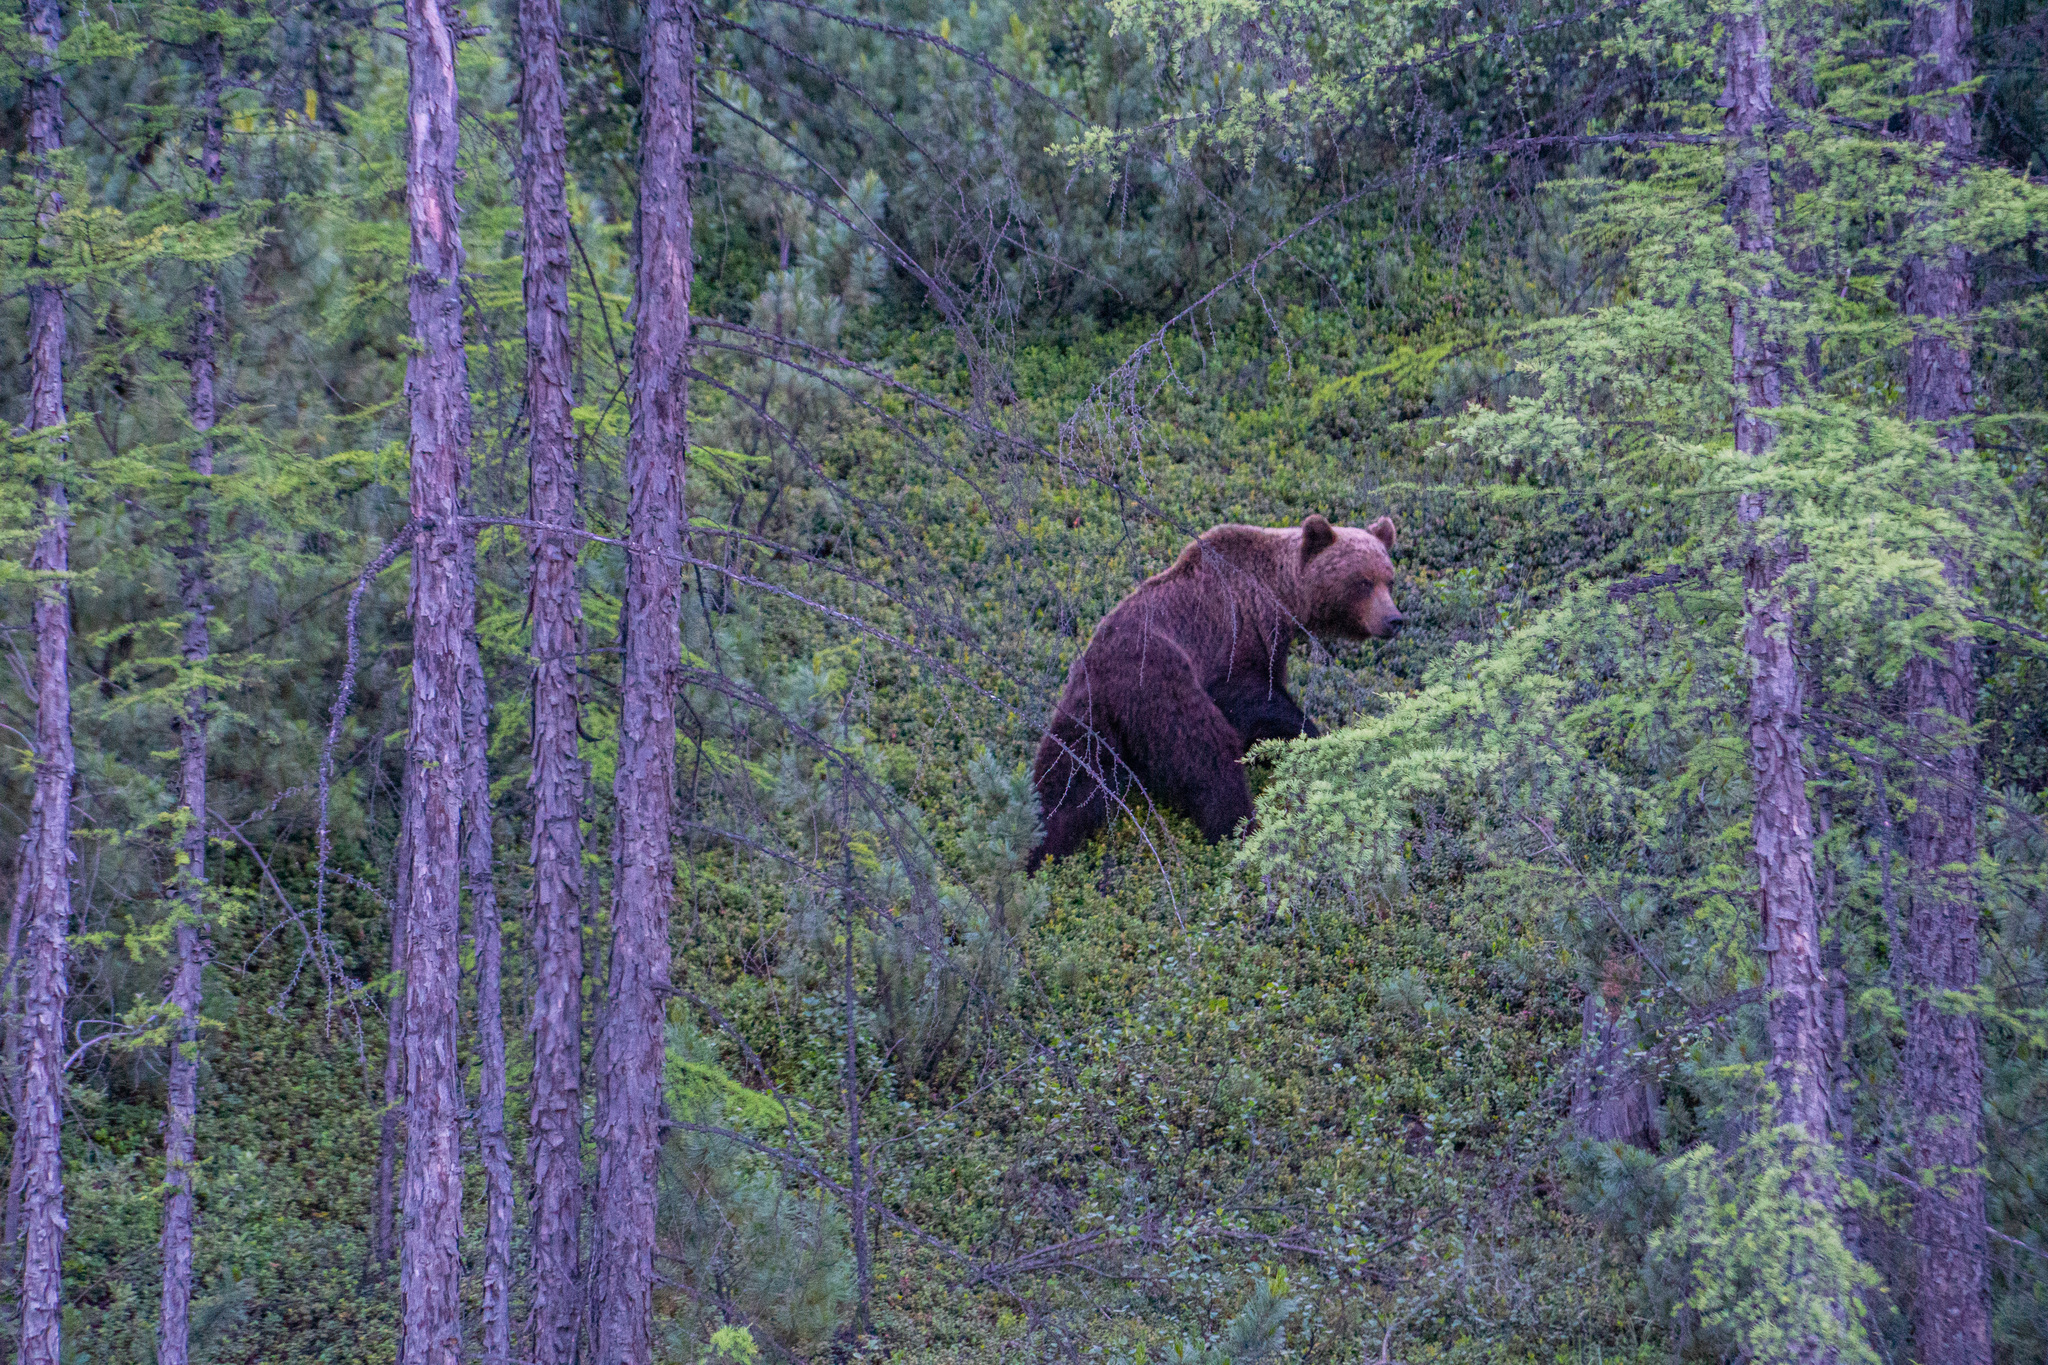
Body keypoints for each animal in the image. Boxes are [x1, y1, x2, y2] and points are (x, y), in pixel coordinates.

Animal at [1024, 511, 1409, 863]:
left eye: (1389, 580)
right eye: (1362, 581)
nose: (1394, 620)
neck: (1281, 592)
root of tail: (1108, 684)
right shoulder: (1238, 634)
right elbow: (1256, 700)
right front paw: (1308, 736)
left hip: (1085, 715)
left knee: (1066, 782)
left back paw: (1039, 848)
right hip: (1163, 687)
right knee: (1209, 758)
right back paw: (1244, 831)